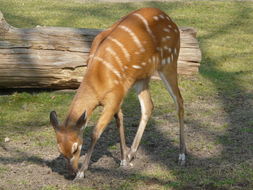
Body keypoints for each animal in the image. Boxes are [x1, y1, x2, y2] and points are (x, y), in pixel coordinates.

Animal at [49, 7, 186, 180]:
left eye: (76, 148)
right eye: (60, 150)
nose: (71, 172)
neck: (99, 80)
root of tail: (172, 22)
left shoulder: (114, 96)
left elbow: (96, 132)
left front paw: (82, 172)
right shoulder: (117, 95)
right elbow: (119, 119)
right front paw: (123, 159)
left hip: (169, 61)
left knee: (179, 101)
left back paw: (182, 155)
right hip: (142, 77)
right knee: (148, 106)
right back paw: (132, 154)